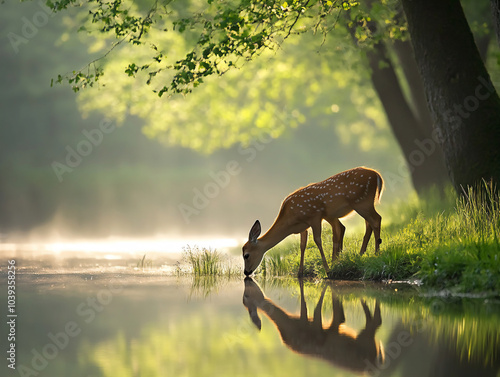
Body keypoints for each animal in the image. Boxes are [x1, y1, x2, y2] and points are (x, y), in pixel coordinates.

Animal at [242, 166, 382, 274]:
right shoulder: (303, 226)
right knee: (365, 224)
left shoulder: (315, 216)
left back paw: (376, 253)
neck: (290, 220)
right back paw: (361, 254)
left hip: (361, 202)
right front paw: (300, 272)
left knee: (376, 219)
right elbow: (302, 245)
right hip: (362, 204)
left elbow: (318, 240)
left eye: (246, 255)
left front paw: (327, 270)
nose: (246, 272)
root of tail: (376, 174)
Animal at [244, 278, 384, 372]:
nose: (247, 276)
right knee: (374, 322)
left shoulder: (317, 329)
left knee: (375, 322)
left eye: (245, 298)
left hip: (366, 341)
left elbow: (319, 309)